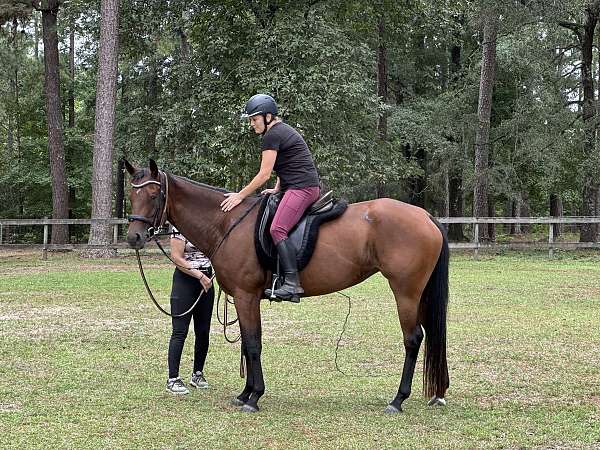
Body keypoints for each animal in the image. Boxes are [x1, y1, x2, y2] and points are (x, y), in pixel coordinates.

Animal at [124, 160, 448, 414]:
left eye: (153, 194)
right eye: (131, 193)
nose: (134, 237)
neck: (228, 222)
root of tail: (423, 215)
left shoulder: (245, 296)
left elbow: (253, 343)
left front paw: (253, 397)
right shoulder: (247, 298)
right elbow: (248, 343)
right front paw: (246, 392)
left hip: (405, 292)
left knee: (413, 339)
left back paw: (398, 399)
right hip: (418, 294)